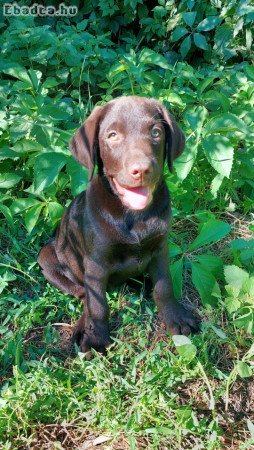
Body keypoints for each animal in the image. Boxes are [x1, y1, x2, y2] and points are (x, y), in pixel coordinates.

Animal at [38, 96, 198, 354]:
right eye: (112, 135)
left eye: (155, 132)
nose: (141, 170)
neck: (134, 215)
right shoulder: (96, 264)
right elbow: (98, 304)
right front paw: (97, 337)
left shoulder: (160, 249)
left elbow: (164, 286)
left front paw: (176, 318)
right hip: (47, 257)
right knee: (83, 294)